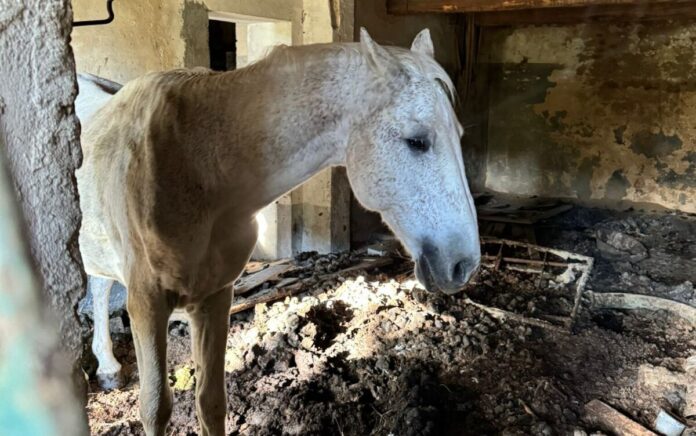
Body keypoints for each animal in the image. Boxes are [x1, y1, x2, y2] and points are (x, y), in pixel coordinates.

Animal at [76, 28, 481, 435]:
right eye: (417, 141)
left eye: (460, 135)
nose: (464, 263)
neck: (197, 163)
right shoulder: (147, 304)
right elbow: (156, 407)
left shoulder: (215, 296)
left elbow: (211, 401)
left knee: (99, 284)